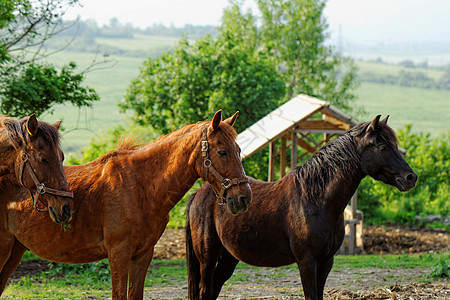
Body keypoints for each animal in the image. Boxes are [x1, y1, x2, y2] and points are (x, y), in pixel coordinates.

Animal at [0, 110, 251, 300]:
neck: (140, 185)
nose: (244, 197)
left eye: (239, 150)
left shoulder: (143, 254)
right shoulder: (119, 253)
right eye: (222, 151)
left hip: (15, 251)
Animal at [186, 113, 418, 298]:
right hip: (207, 258)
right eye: (382, 146)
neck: (315, 200)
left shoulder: (326, 263)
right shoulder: (307, 262)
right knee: (205, 291)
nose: (411, 177)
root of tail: (200, 193)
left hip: (229, 257)